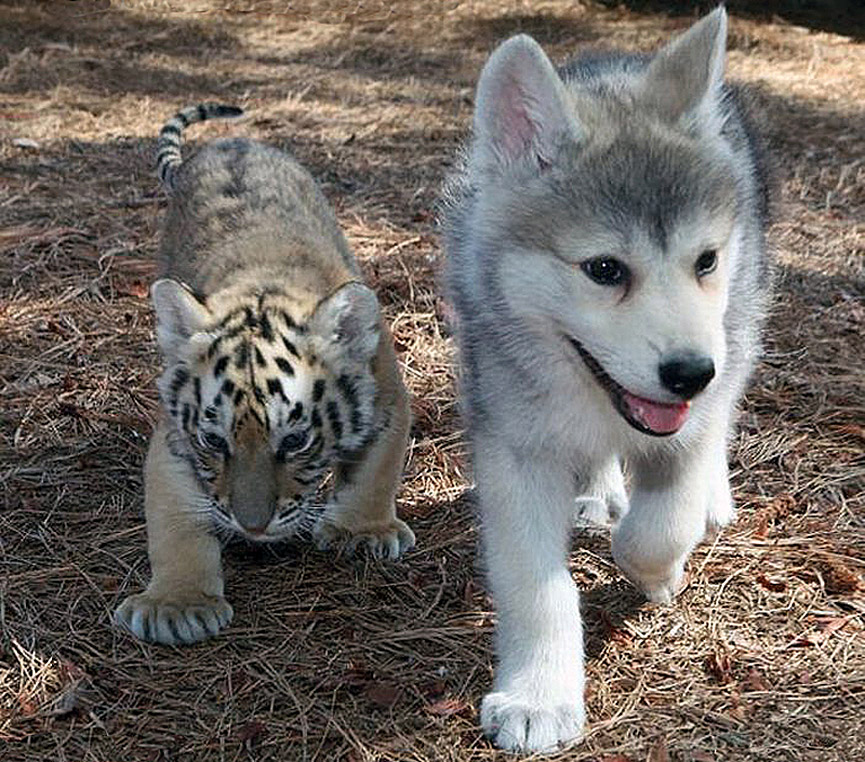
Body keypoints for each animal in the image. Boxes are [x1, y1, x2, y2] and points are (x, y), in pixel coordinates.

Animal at [114, 103, 415, 646]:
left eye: (295, 441)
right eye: (215, 442)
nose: (252, 527)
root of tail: (228, 142)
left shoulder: (386, 397)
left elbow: (377, 471)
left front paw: (361, 532)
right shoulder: (175, 440)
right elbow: (175, 520)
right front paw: (177, 604)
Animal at [441, 7, 770, 753]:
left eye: (705, 260)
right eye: (603, 270)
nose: (689, 375)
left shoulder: (694, 413)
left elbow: (659, 525)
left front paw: (659, 568)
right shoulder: (514, 447)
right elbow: (536, 585)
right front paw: (538, 697)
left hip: (740, 327)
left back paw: (709, 498)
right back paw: (596, 493)